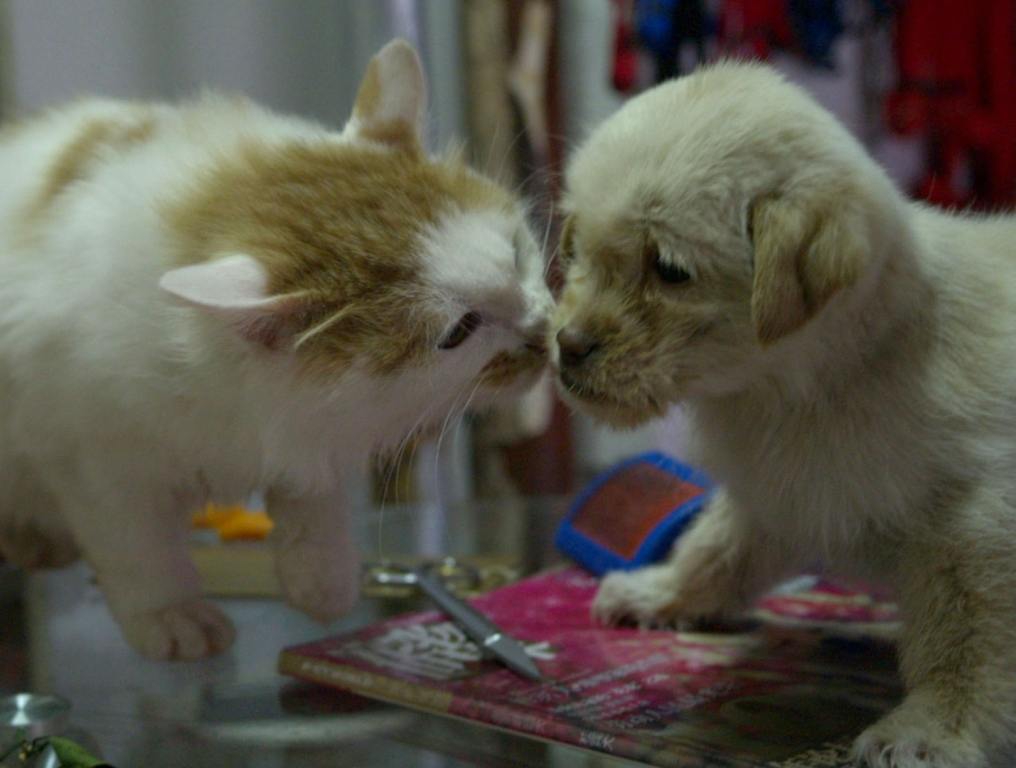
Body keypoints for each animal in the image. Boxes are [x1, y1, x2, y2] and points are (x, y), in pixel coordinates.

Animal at [0, 40, 552, 658]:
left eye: (515, 255)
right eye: (460, 330)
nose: (542, 331)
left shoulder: (309, 431)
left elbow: (313, 502)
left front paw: (323, 581)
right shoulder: (93, 462)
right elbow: (140, 548)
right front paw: (171, 614)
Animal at [552, 62, 1016, 768]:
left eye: (669, 270)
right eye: (578, 249)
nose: (565, 346)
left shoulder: (973, 528)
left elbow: (967, 645)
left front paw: (935, 727)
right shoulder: (775, 493)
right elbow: (713, 549)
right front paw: (662, 593)